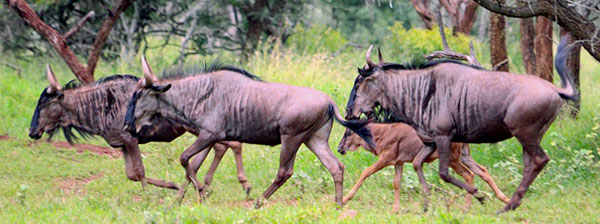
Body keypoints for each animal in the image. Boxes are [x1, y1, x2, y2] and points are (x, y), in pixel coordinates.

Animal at [336, 122, 508, 212]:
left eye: (348, 132)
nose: (339, 148)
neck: (381, 134)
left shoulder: (386, 159)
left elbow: (365, 172)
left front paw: (344, 199)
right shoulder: (398, 162)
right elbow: (397, 184)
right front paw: (395, 209)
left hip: (453, 159)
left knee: (469, 174)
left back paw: (468, 206)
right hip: (464, 156)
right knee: (482, 170)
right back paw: (502, 198)